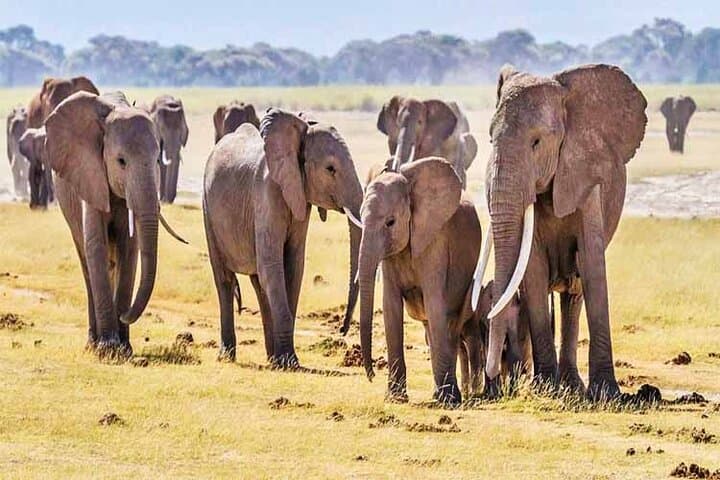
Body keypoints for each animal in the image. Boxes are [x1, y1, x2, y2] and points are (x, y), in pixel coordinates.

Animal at [43, 90, 167, 355]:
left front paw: (125, 349)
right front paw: (109, 348)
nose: (125, 316)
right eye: (121, 161)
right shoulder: (89, 174)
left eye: (158, 161)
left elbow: (129, 249)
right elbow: (95, 245)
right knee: (86, 261)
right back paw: (93, 343)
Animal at [203, 108, 364, 366]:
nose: (342, 330)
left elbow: (293, 267)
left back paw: (271, 358)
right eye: (330, 169)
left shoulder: (300, 196)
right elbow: (272, 265)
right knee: (225, 280)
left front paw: (285, 361)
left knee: (259, 284)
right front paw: (290, 362)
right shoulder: (267, 192)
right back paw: (227, 356)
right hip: (208, 211)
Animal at [353, 157, 481, 405]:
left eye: (391, 222)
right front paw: (395, 398)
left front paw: (448, 401)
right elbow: (391, 307)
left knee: (451, 325)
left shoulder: (435, 242)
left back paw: (450, 396)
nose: (371, 376)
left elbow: (434, 304)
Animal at [470, 64, 647, 400]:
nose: (493, 375)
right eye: (489, 139)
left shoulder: (587, 180)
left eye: (537, 142)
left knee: (574, 292)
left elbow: (591, 264)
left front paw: (606, 394)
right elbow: (533, 267)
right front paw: (546, 389)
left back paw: (575, 386)